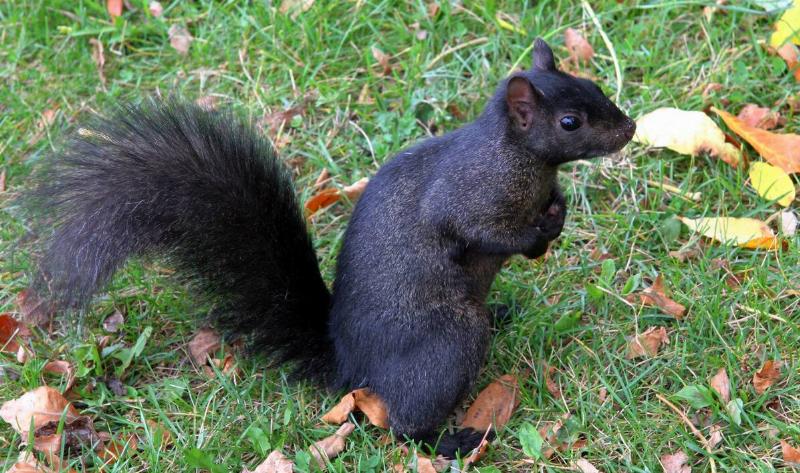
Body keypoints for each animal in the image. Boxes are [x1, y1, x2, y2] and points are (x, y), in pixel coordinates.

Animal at [25, 38, 635, 457]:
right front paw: (538, 231)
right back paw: (449, 441)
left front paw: (557, 213)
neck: (520, 159)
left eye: (595, 85)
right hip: (449, 341)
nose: (629, 129)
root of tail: (352, 368)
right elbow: (485, 232)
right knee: (404, 426)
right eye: (570, 121)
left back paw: (501, 312)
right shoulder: (467, 196)